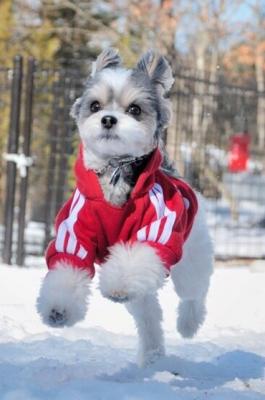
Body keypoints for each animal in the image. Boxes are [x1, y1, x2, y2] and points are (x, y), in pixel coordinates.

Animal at [37, 48, 212, 368]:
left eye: (135, 110)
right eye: (95, 106)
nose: (108, 119)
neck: (115, 172)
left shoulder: (155, 235)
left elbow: (133, 261)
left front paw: (117, 286)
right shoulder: (74, 235)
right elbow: (68, 268)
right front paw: (58, 310)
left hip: (191, 256)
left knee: (193, 293)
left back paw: (188, 325)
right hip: (149, 290)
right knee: (149, 315)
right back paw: (153, 354)